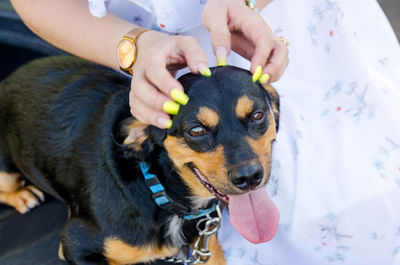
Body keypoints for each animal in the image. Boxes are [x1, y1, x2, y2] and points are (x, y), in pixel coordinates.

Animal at [0, 56, 280, 264]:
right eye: (196, 131)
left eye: (257, 115)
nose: (249, 177)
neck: (160, 190)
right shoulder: (74, 244)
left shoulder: (206, 242)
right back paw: (22, 196)